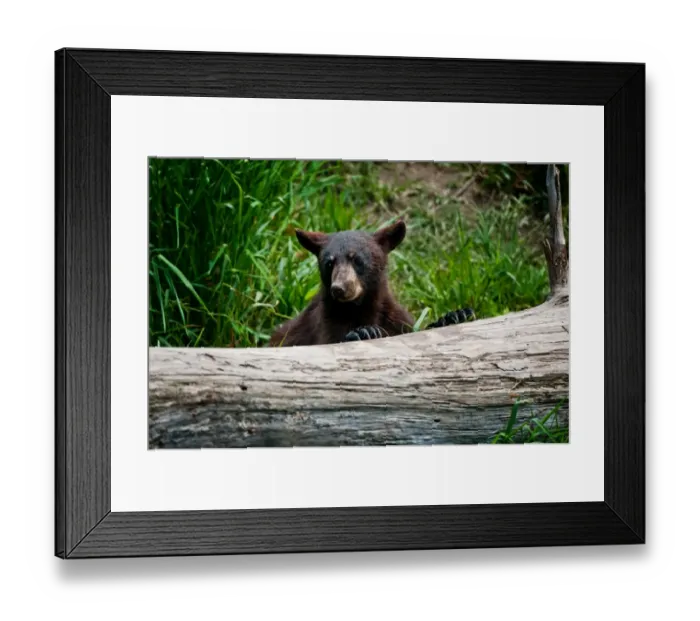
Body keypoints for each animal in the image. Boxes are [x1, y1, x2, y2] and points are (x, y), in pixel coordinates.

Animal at [268, 219, 475, 347]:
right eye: (329, 263)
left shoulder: (394, 317)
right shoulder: (326, 322)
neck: (361, 307)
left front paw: (455, 316)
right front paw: (364, 332)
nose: (339, 288)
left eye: (357, 260)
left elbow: (415, 330)